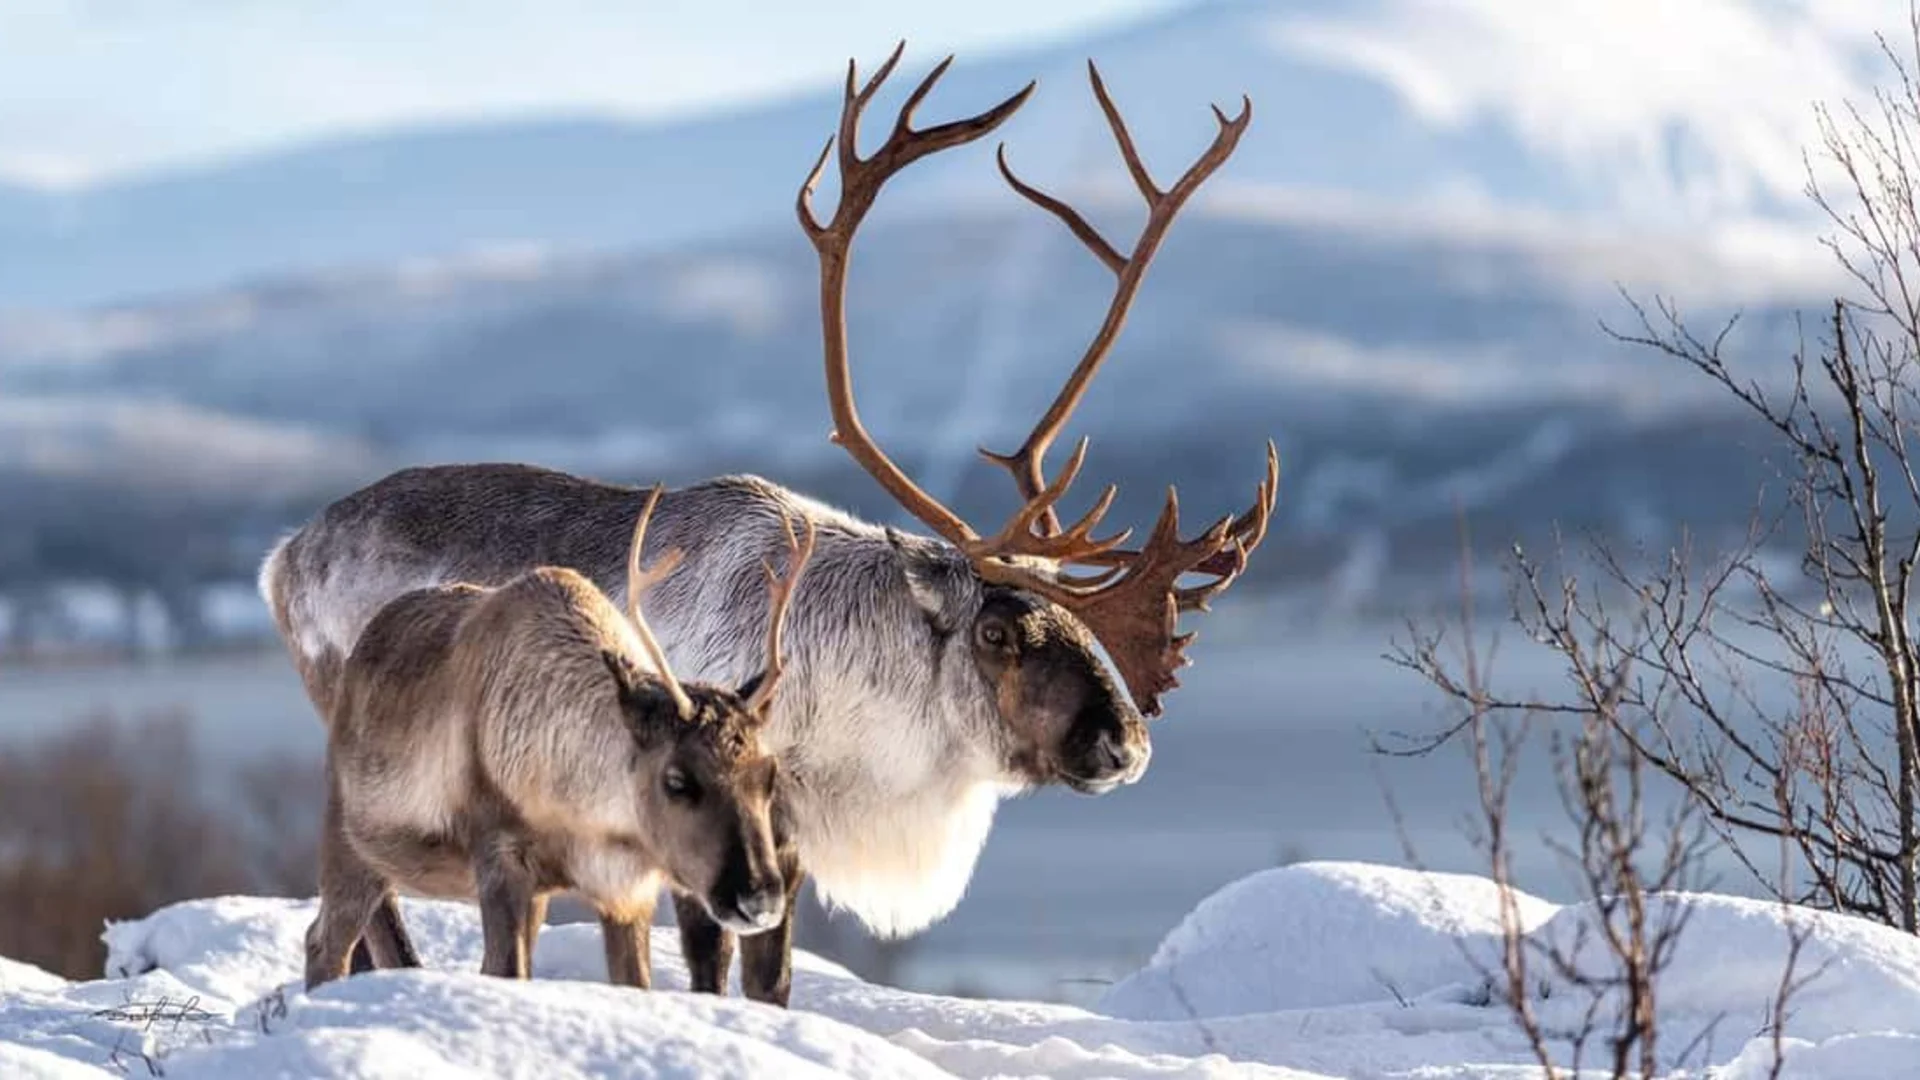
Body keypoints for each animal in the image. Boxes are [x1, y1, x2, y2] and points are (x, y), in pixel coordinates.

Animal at [303, 486, 814, 994]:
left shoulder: (625, 892)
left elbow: (633, 981)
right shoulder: (501, 860)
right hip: (352, 842)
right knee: (323, 942)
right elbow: (506, 970)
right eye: (677, 780)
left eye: (769, 776)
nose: (758, 897)